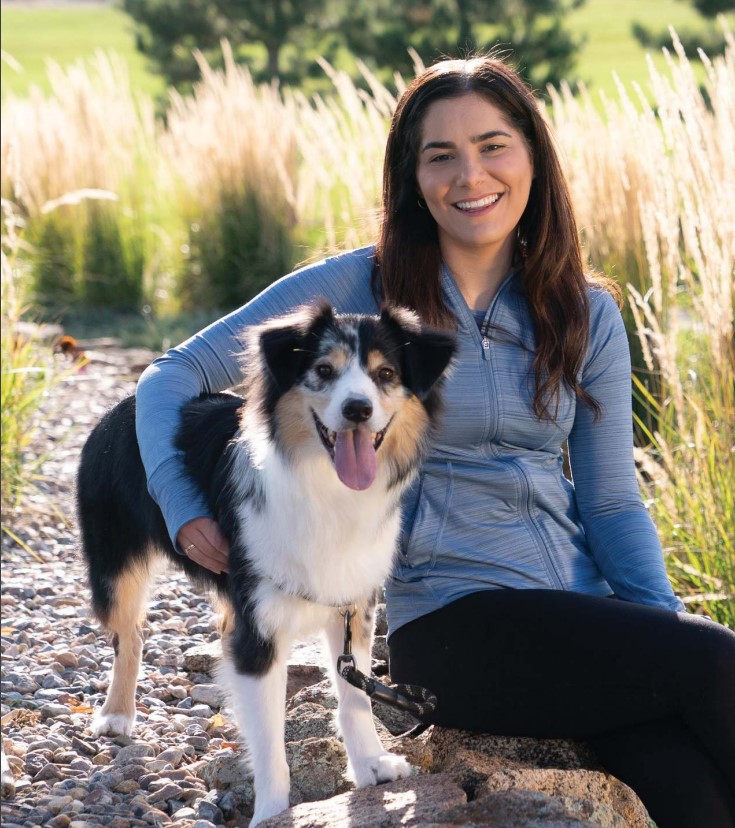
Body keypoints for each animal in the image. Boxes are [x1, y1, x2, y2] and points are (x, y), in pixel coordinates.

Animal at [76, 300, 454, 824]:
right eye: (323, 370)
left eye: (386, 374)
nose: (357, 409)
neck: (326, 490)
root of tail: (125, 402)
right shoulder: (261, 629)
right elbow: (270, 737)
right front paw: (273, 811)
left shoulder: (353, 604)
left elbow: (355, 695)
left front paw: (372, 764)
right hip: (114, 565)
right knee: (129, 634)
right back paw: (116, 714)